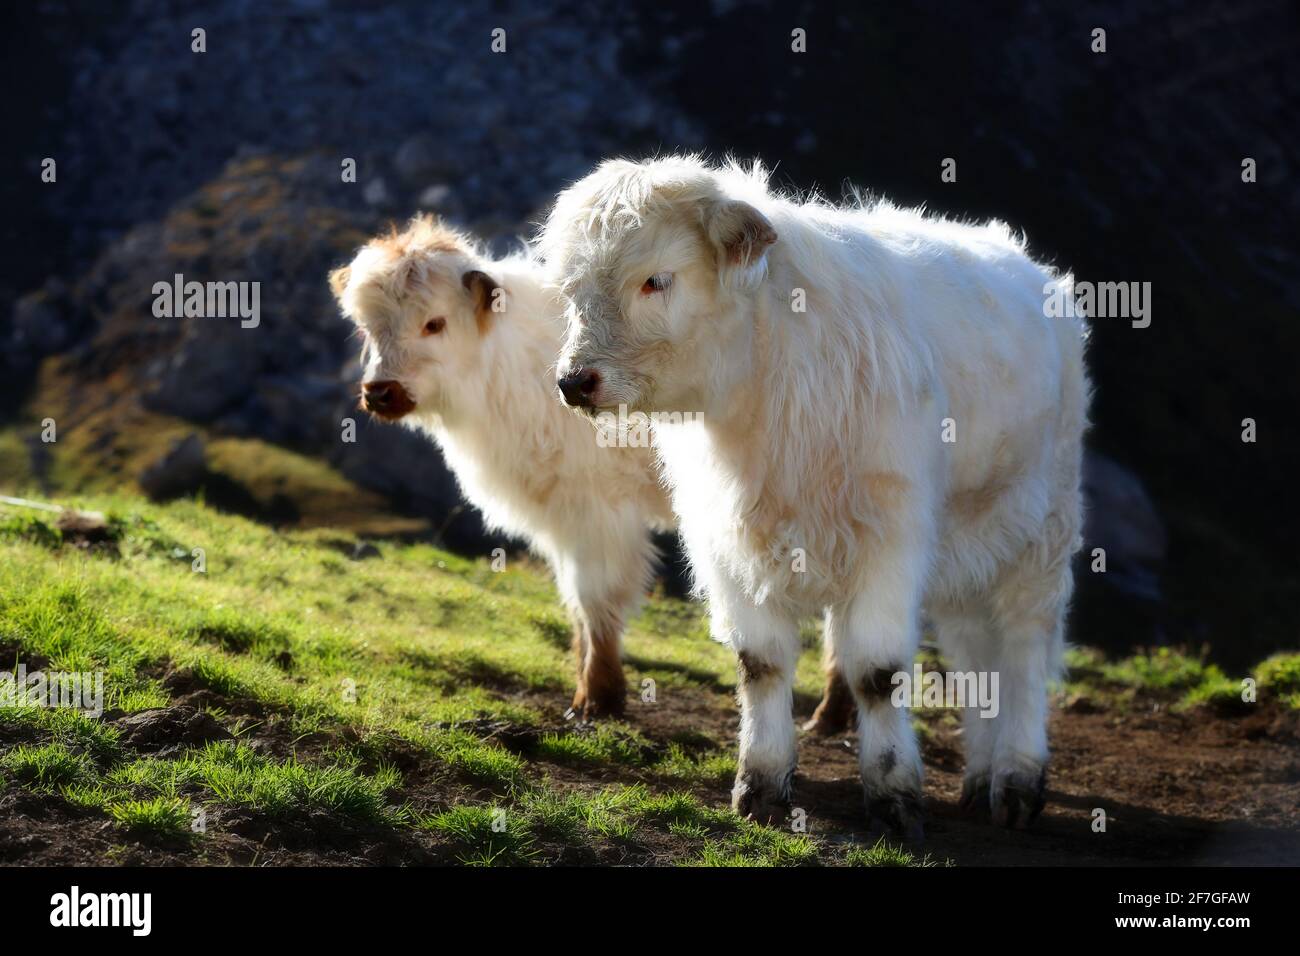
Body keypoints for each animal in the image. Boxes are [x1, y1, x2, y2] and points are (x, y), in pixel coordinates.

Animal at [325, 218, 676, 717]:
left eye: (435, 322)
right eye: (365, 328)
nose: (379, 392)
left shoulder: (597, 506)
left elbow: (596, 598)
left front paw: (598, 697)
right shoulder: (562, 516)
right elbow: (574, 602)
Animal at [543, 158, 1092, 837]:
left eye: (656, 280)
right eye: (572, 291)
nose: (574, 381)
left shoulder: (890, 535)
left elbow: (877, 673)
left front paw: (893, 794)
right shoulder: (729, 544)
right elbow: (761, 664)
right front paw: (760, 784)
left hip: (1042, 528)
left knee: (1022, 645)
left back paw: (1016, 778)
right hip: (969, 539)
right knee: (975, 651)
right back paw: (981, 778)